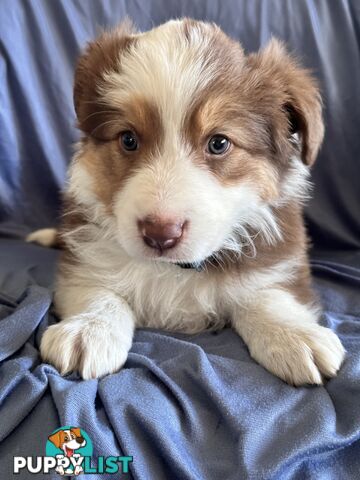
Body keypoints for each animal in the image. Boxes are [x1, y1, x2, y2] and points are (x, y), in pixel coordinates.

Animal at [31, 17, 346, 386]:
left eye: (219, 143)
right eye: (128, 139)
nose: (160, 234)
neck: (176, 269)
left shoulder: (278, 254)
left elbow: (267, 294)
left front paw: (294, 335)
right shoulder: (84, 258)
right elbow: (98, 289)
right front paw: (89, 329)